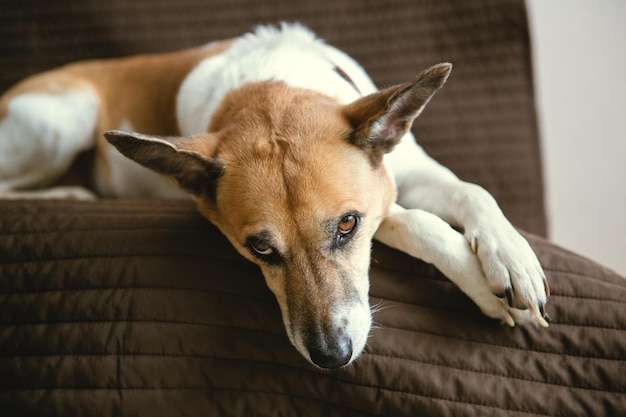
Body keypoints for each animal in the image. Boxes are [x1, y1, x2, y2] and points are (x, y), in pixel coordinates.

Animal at [0, 23, 544, 368]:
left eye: (347, 224)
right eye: (259, 248)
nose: (331, 357)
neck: (267, 84)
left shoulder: (407, 171)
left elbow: (472, 191)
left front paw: (511, 259)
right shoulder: (385, 202)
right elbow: (416, 221)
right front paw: (481, 285)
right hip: (61, 119)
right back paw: (73, 194)